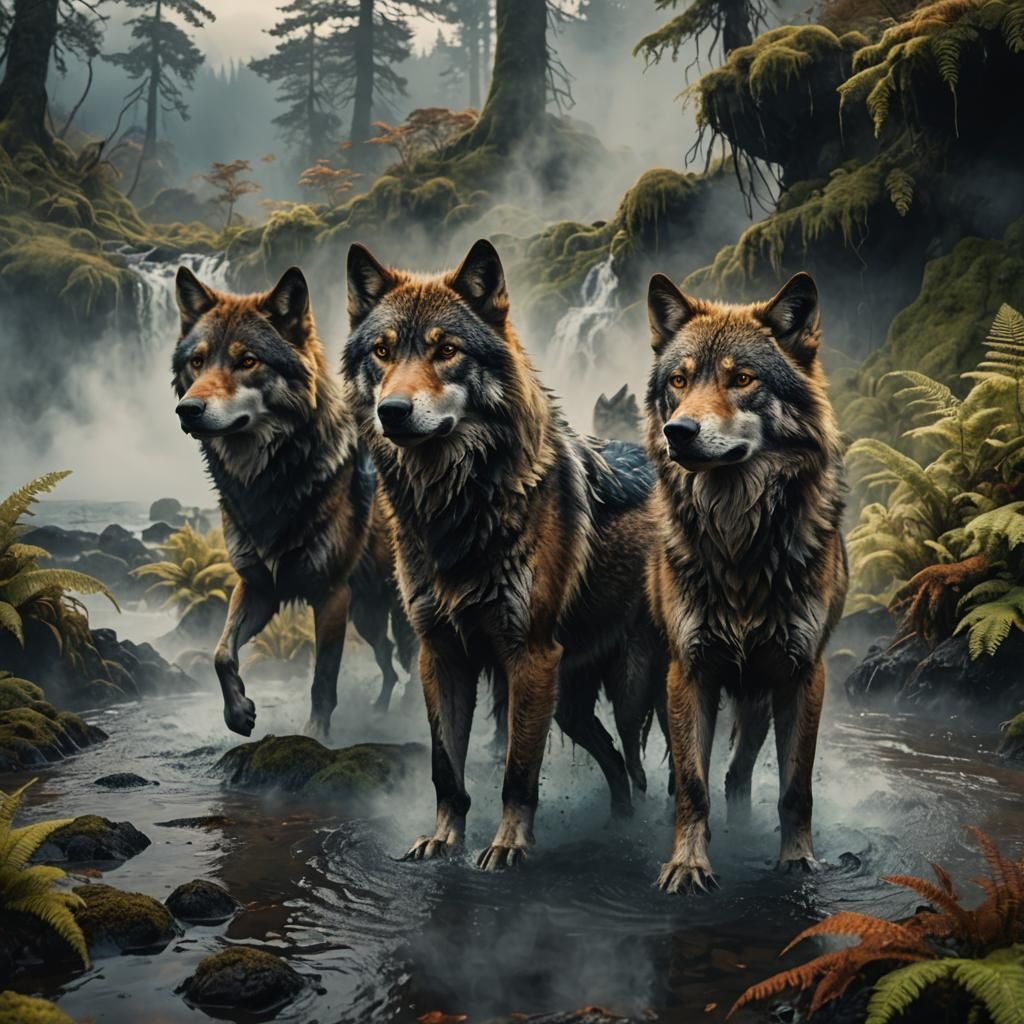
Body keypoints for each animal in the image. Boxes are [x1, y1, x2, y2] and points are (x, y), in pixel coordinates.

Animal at [172, 265, 417, 739]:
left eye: (247, 361)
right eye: (198, 361)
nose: (187, 410)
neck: (268, 482)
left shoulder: (330, 595)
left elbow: (323, 677)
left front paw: (315, 734)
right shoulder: (257, 585)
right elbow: (220, 653)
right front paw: (238, 713)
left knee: (412, 661)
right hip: (368, 618)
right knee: (389, 661)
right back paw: (381, 709)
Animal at [342, 238, 661, 868]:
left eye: (446, 350)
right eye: (382, 352)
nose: (392, 411)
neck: (455, 510)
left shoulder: (528, 657)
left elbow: (518, 770)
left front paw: (508, 846)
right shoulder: (440, 653)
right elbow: (446, 769)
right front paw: (443, 840)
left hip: (629, 688)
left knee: (638, 763)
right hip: (570, 703)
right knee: (614, 758)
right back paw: (616, 822)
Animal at [642, 271, 847, 894]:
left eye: (742, 379)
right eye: (680, 381)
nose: (678, 431)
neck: (738, 541)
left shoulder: (802, 674)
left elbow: (796, 788)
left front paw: (798, 861)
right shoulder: (690, 672)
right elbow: (693, 785)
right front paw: (687, 864)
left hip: (758, 696)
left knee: (737, 775)